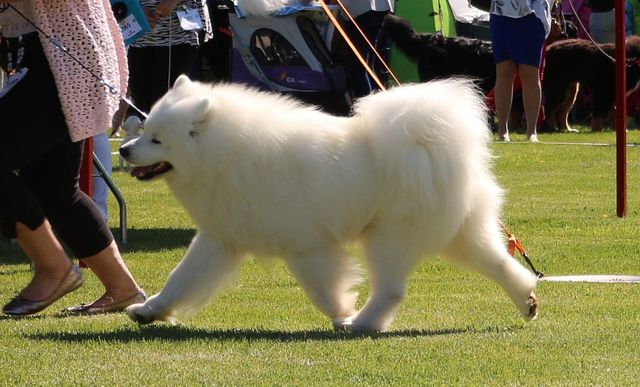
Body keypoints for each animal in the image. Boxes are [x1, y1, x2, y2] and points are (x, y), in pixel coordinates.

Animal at [120, 76, 540, 334]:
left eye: (157, 140)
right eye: (144, 129)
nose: (123, 150)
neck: (225, 154)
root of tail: (431, 142)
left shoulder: (308, 247)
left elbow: (323, 290)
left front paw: (342, 310)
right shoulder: (220, 239)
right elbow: (181, 279)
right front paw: (149, 310)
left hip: (388, 237)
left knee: (391, 290)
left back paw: (361, 324)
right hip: (462, 233)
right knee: (503, 264)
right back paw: (527, 300)